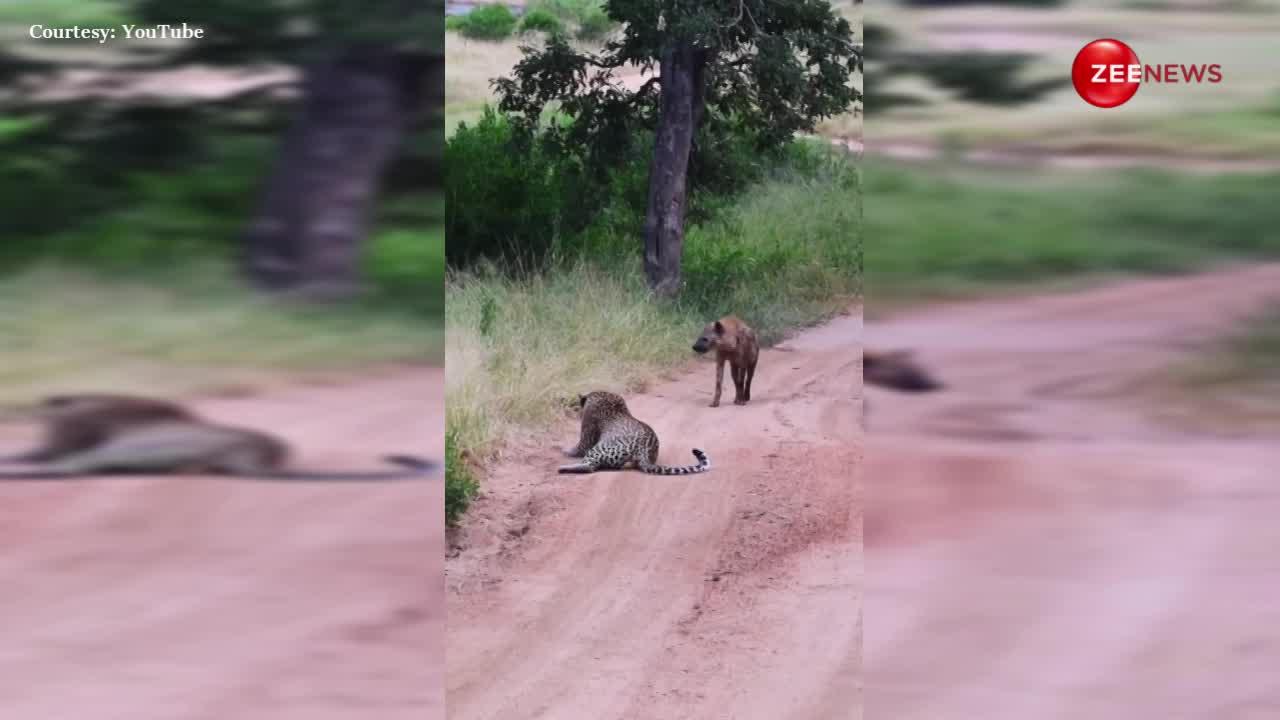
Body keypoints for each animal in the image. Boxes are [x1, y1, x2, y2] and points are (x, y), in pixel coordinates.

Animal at [558, 389, 711, 474]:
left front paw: (562, 449)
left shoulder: (587, 438)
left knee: (590, 466)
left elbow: (578, 447)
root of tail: (645, 452)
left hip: (599, 449)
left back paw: (563, 468)